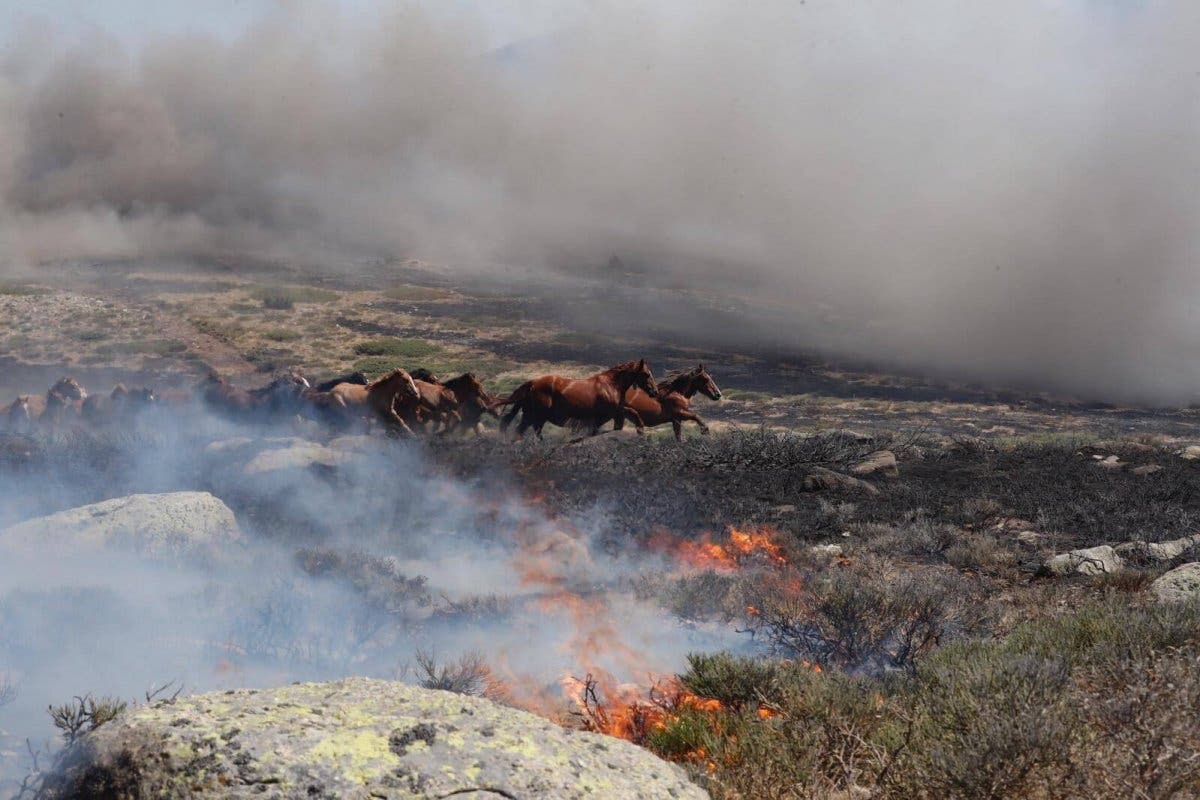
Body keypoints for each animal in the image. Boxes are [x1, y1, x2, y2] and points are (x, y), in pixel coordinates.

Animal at [501, 362, 662, 441]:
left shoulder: (616, 411)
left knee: (527, 432)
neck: (611, 385)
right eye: (646, 374)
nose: (655, 391)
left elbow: (628, 416)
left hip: (533, 417)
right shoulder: (605, 414)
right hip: (535, 416)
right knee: (523, 432)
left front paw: (640, 430)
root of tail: (532, 383)